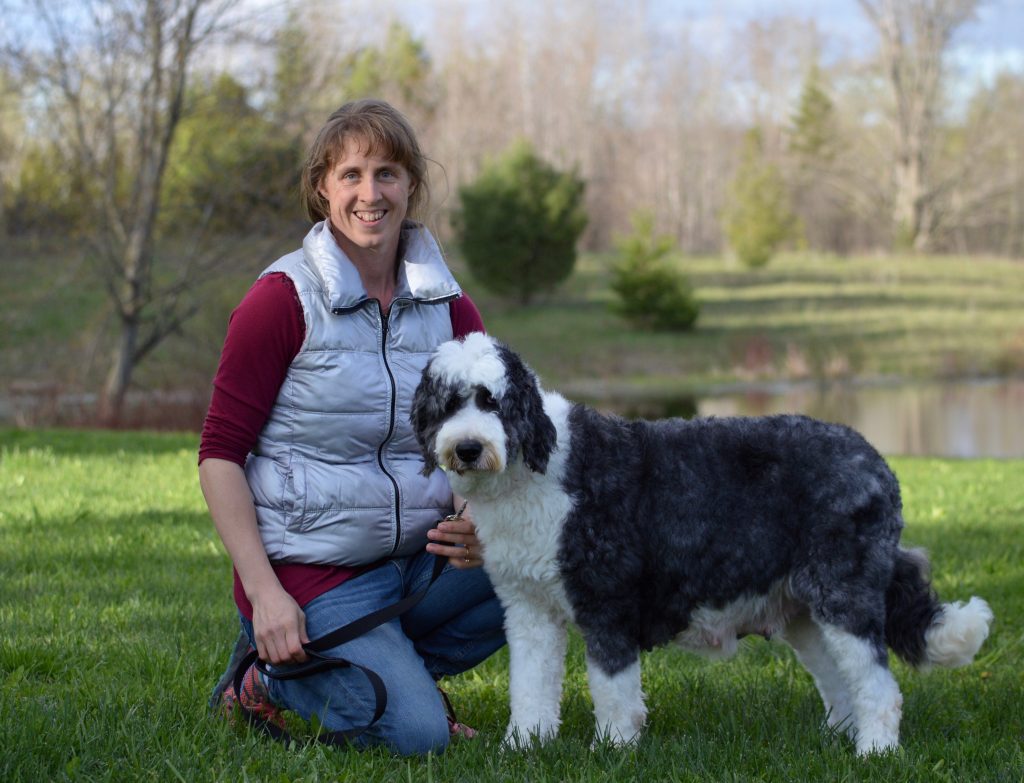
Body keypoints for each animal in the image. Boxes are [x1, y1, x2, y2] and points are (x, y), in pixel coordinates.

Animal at [409, 331, 991, 753]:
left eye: (492, 402)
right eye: (448, 404)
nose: (467, 447)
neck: (535, 465)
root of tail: (874, 459)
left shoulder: (608, 603)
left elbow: (613, 690)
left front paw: (612, 749)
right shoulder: (529, 610)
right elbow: (530, 685)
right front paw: (524, 746)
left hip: (843, 593)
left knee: (878, 685)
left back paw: (875, 751)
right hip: (806, 610)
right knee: (840, 678)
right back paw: (839, 740)